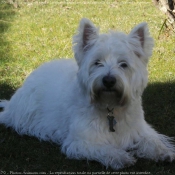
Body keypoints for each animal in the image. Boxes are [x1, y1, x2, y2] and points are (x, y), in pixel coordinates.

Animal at [0, 18, 175, 170]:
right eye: (97, 62)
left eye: (123, 64)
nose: (109, 80)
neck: (110, 107)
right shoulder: (81, 141)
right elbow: (103, 148)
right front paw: (120, 157)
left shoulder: (139, 129)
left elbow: (152, 140)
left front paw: (164, 152)